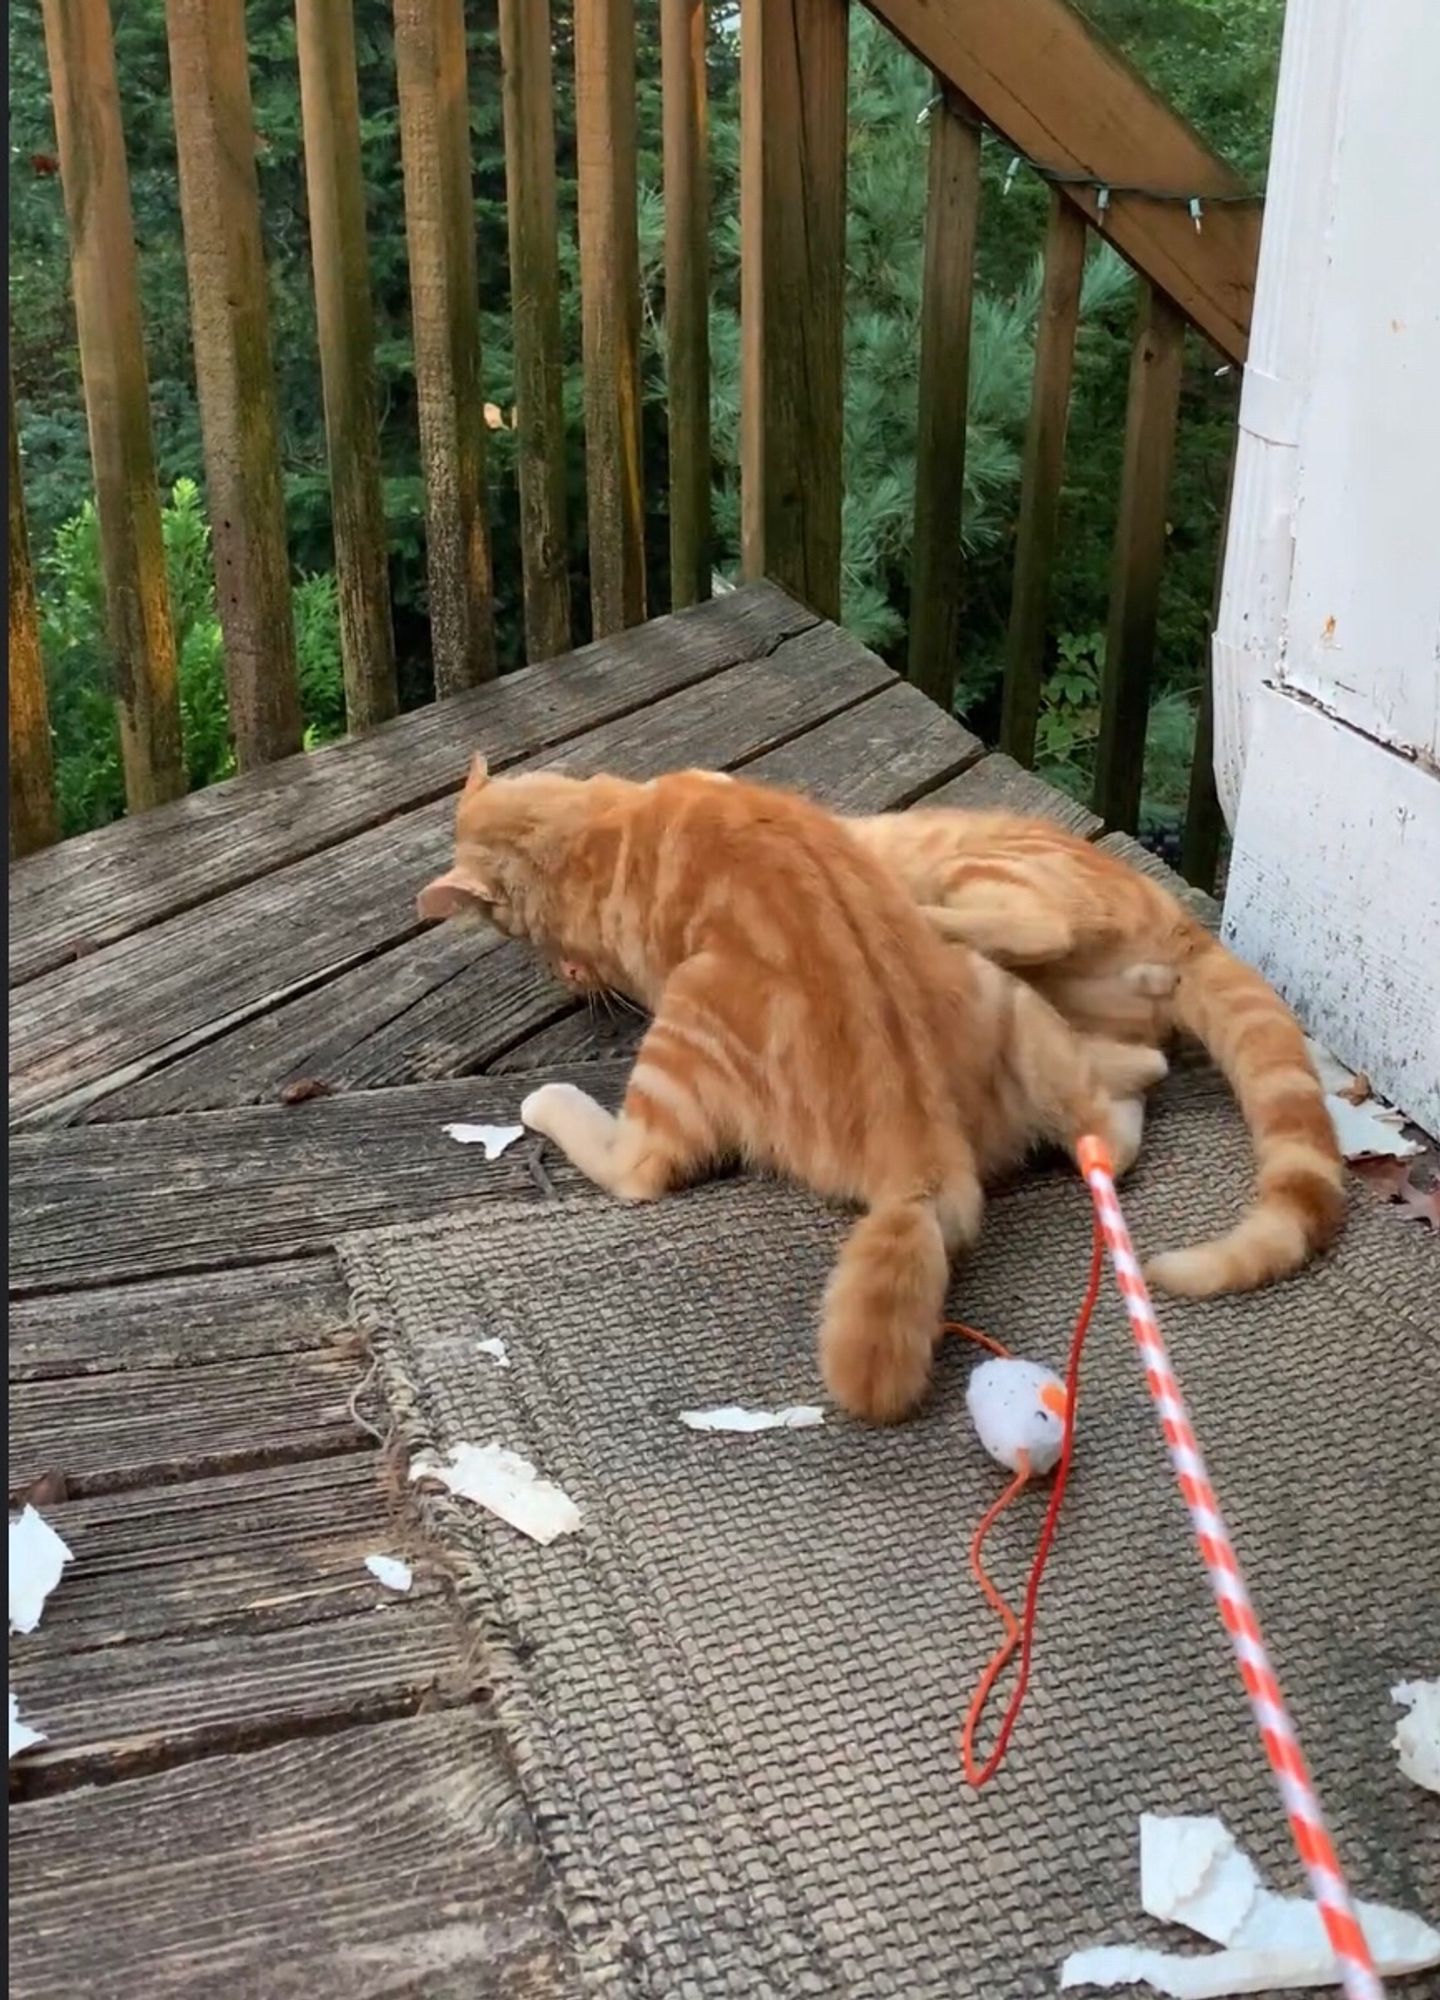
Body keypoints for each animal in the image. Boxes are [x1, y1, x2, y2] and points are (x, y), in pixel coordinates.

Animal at [414, 752, 1160, 1424]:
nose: (559, 972)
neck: (591, 825)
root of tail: (925, 1168)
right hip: (999, 991)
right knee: (1107, 1133)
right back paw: (1133, 1067)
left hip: (685, 1016)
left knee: (637, 1169)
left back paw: (549, 1103)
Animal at [848, 804, 1344, 1304]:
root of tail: (1182, 927)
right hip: (1086, 1024)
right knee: (1126, 1110)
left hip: (978, 866)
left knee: (1049, 928)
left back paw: (918, 917)